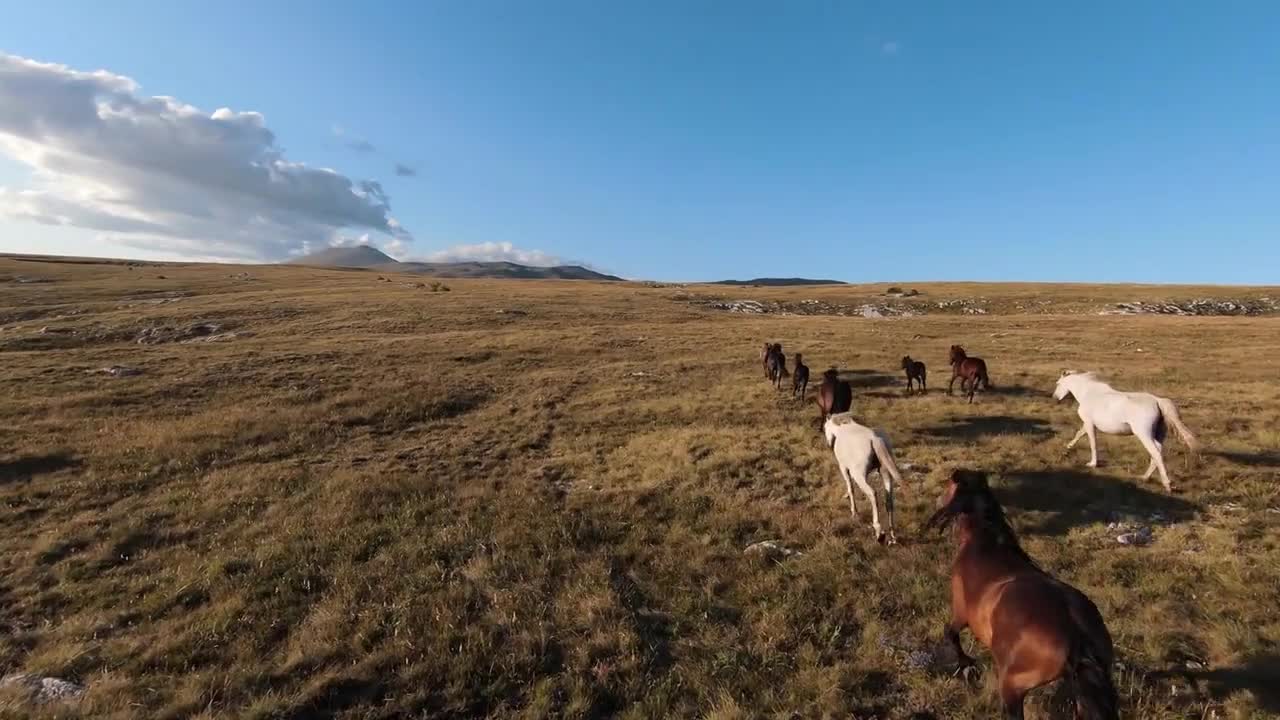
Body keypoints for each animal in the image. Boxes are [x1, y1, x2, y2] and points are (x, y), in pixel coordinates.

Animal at [824, 412, 906, 540]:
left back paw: (879, 532)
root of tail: (874, 439)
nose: (828, 444)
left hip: (859, 475)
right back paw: (892, 536)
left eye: (824, 428)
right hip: (885, 473)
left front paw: (854, 512)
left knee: (872, 493)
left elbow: (851, 488)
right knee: (888, 500)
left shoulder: (844, 468)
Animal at [926, 468, 1116, 712]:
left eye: (947, 486)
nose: (936, 501)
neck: (985, 544)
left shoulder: (962, 613)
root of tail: (1078, 638)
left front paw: (967, 665)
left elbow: (950, 634)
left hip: (1012, 687)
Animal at [1054, 368, 1192, 491]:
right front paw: (1068, 447)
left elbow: (1093, 443)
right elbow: (1078, 434)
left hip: (1144, 434)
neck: (1088, 393)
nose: (1055, 398)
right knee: (1157, 452)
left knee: (1156, 454)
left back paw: (1167, 485)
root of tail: (1157, 401)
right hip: (1158, 434)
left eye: (1058, 384)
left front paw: (1092, 463)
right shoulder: (1087, 424)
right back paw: (1144, 477)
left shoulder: (1089, 424)